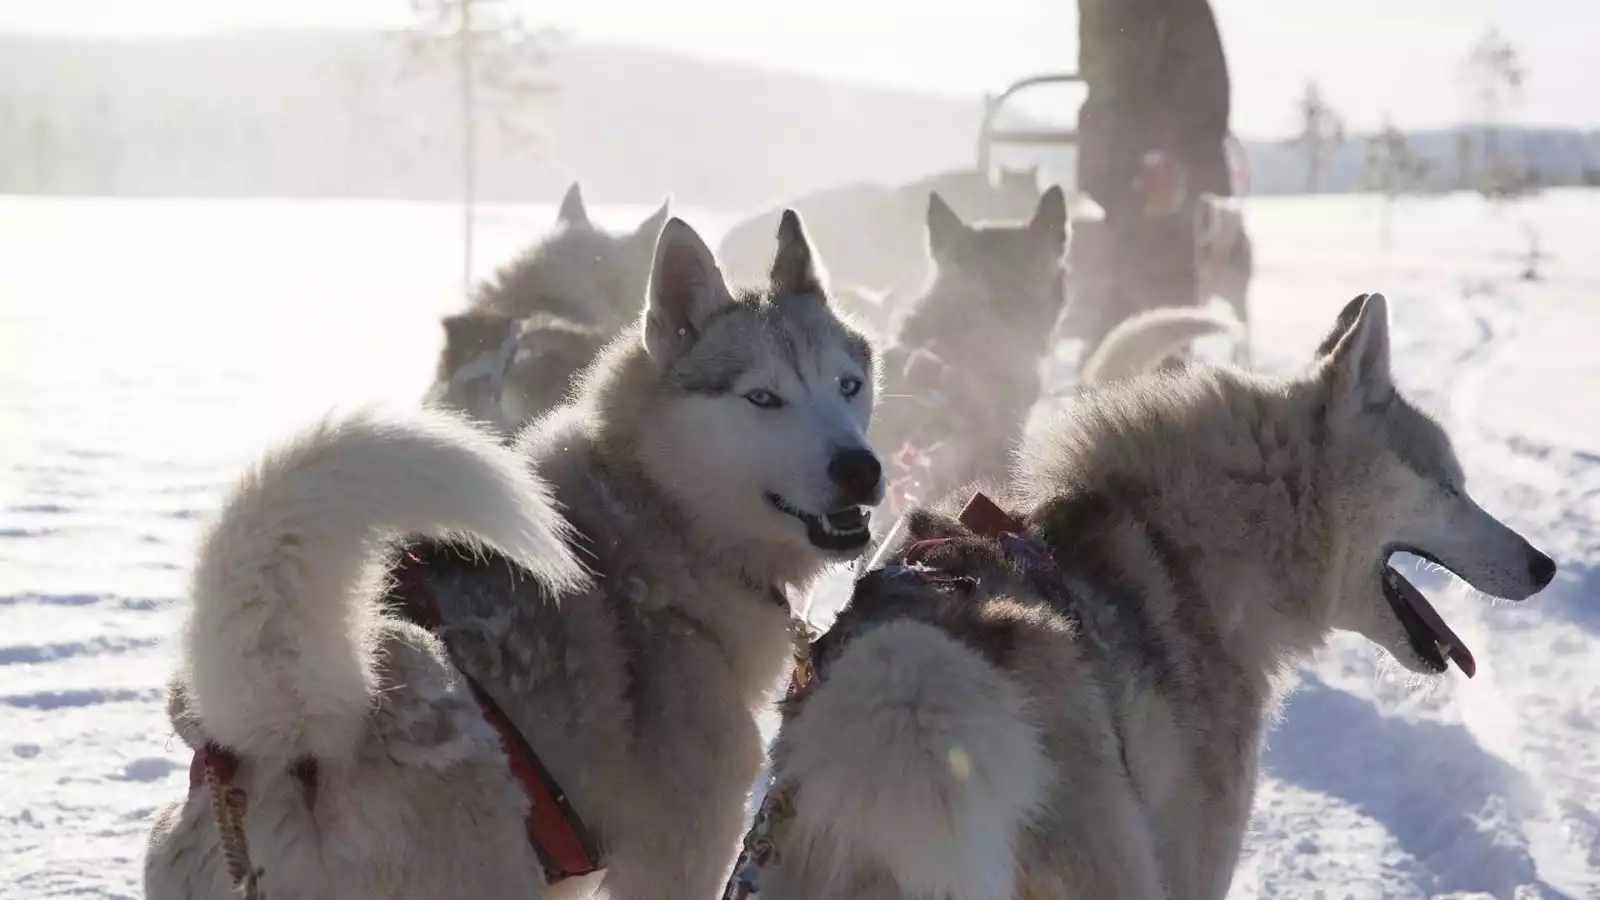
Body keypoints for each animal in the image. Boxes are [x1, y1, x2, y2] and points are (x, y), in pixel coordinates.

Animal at [144, 211, 883, 896]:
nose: (861, 469)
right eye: (763, 397)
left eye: (848, 385)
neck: (655, 519)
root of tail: (300, 729)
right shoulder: (677, 860)